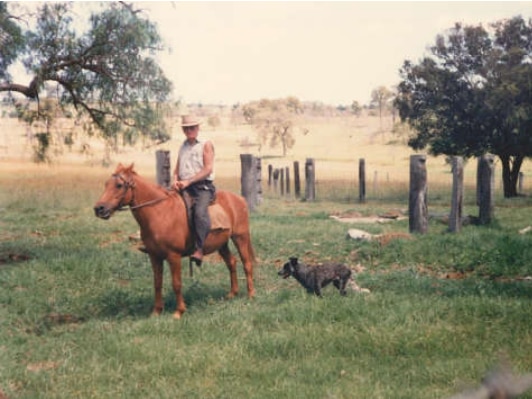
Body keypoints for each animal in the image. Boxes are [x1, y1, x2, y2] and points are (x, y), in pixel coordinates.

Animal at [94, 162, 256, 318]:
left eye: (119, 185)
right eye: (106, 184)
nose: (99, 208)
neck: (160, 212)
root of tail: (240, 199)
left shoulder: (174, 256)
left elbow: (176, 283)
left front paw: (179, 311)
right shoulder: (154, 256)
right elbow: (157, 282)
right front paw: (156, 311)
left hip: (240, 237)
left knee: (247, 264)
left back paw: (251, 295)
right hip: (222, 244)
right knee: (232, 262)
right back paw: (232, 294)